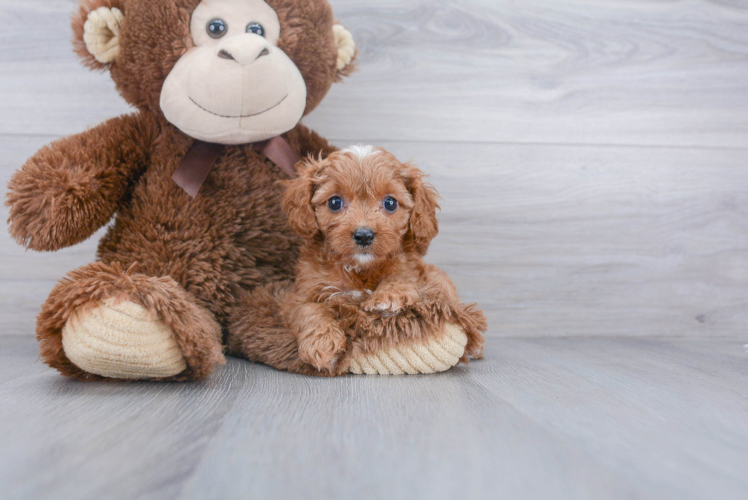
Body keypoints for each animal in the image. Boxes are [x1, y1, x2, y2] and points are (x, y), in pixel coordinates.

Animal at [280, 145, 486, 372]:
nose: (363, 235)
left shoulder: (414, 272)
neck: (360, 268)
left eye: (390, 203)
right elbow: (309, 309)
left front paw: (388, 297)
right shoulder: (301, 294)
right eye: (334, 202)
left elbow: (401, 279)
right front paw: (321, 343)